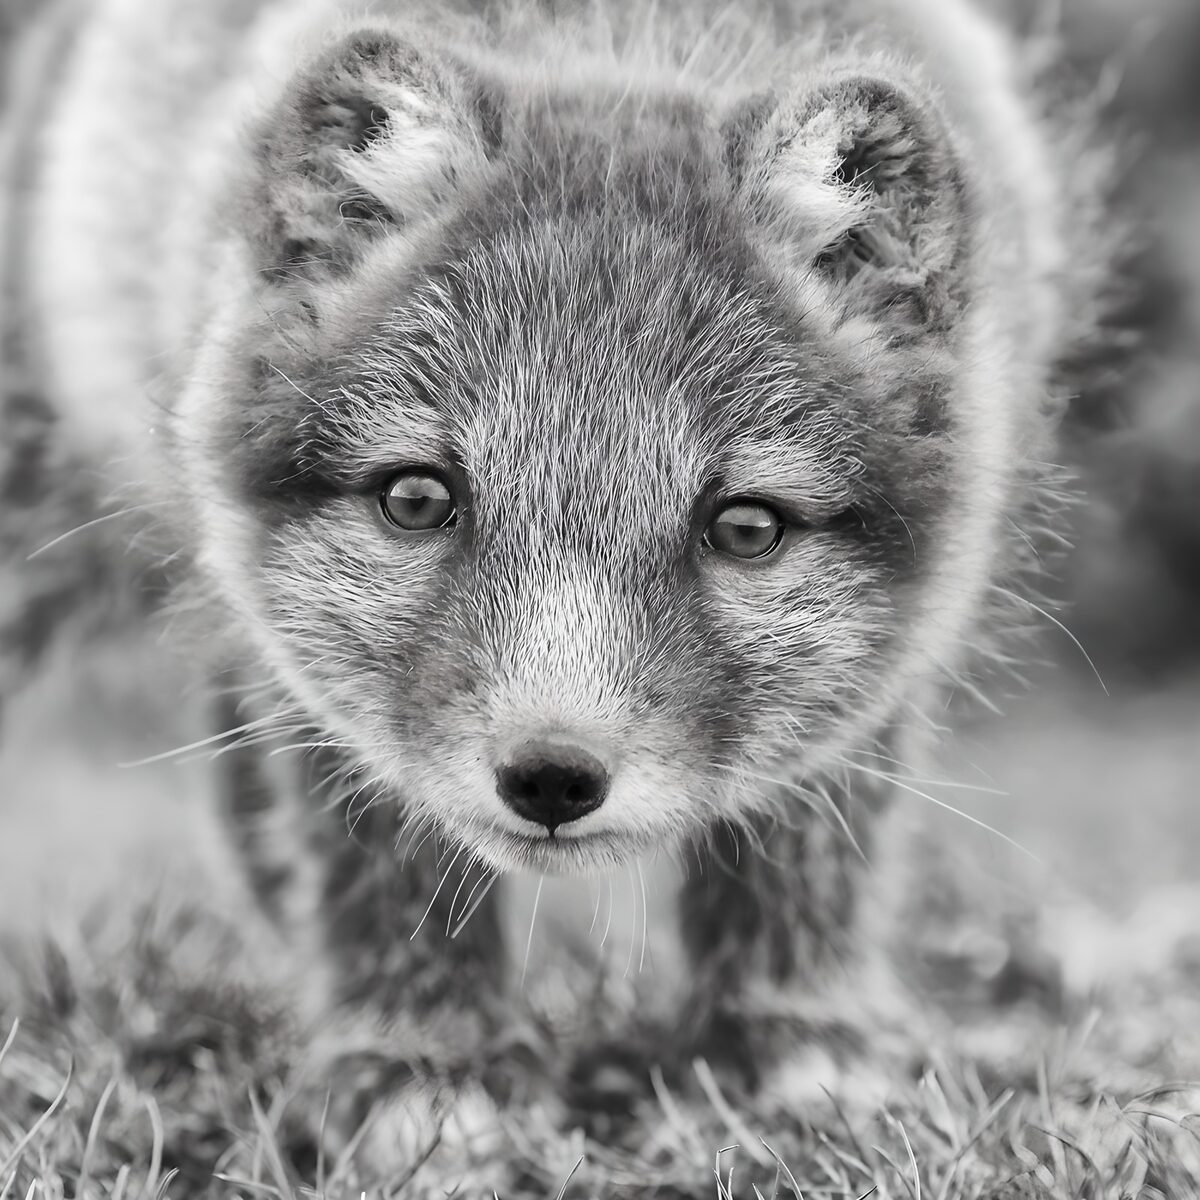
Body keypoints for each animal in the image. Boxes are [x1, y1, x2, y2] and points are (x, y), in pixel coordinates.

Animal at [1, 0, 1112, 1164]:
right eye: (417, 499)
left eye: (745, 527)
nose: (551, 776)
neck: (619, 36)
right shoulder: (323, 689)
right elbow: (379, 852)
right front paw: (427, 1062)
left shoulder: (886, 662)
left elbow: (808, 847)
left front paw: (791, 1040)